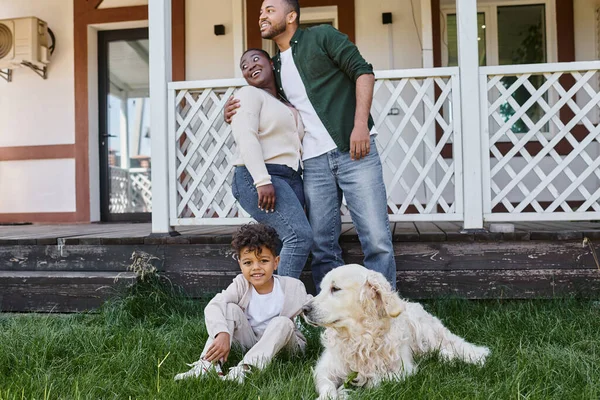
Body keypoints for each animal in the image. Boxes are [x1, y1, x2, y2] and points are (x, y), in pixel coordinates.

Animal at [302, 264, 490, 398]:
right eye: (321, 288)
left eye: (335, 289)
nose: (304, 309)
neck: (359, 338)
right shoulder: (324, 368)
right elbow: (326, 386)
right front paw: (335, 394)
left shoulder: (402, 371)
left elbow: (374, 380)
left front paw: (351, 388)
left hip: (427, 333)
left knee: (452, 345)